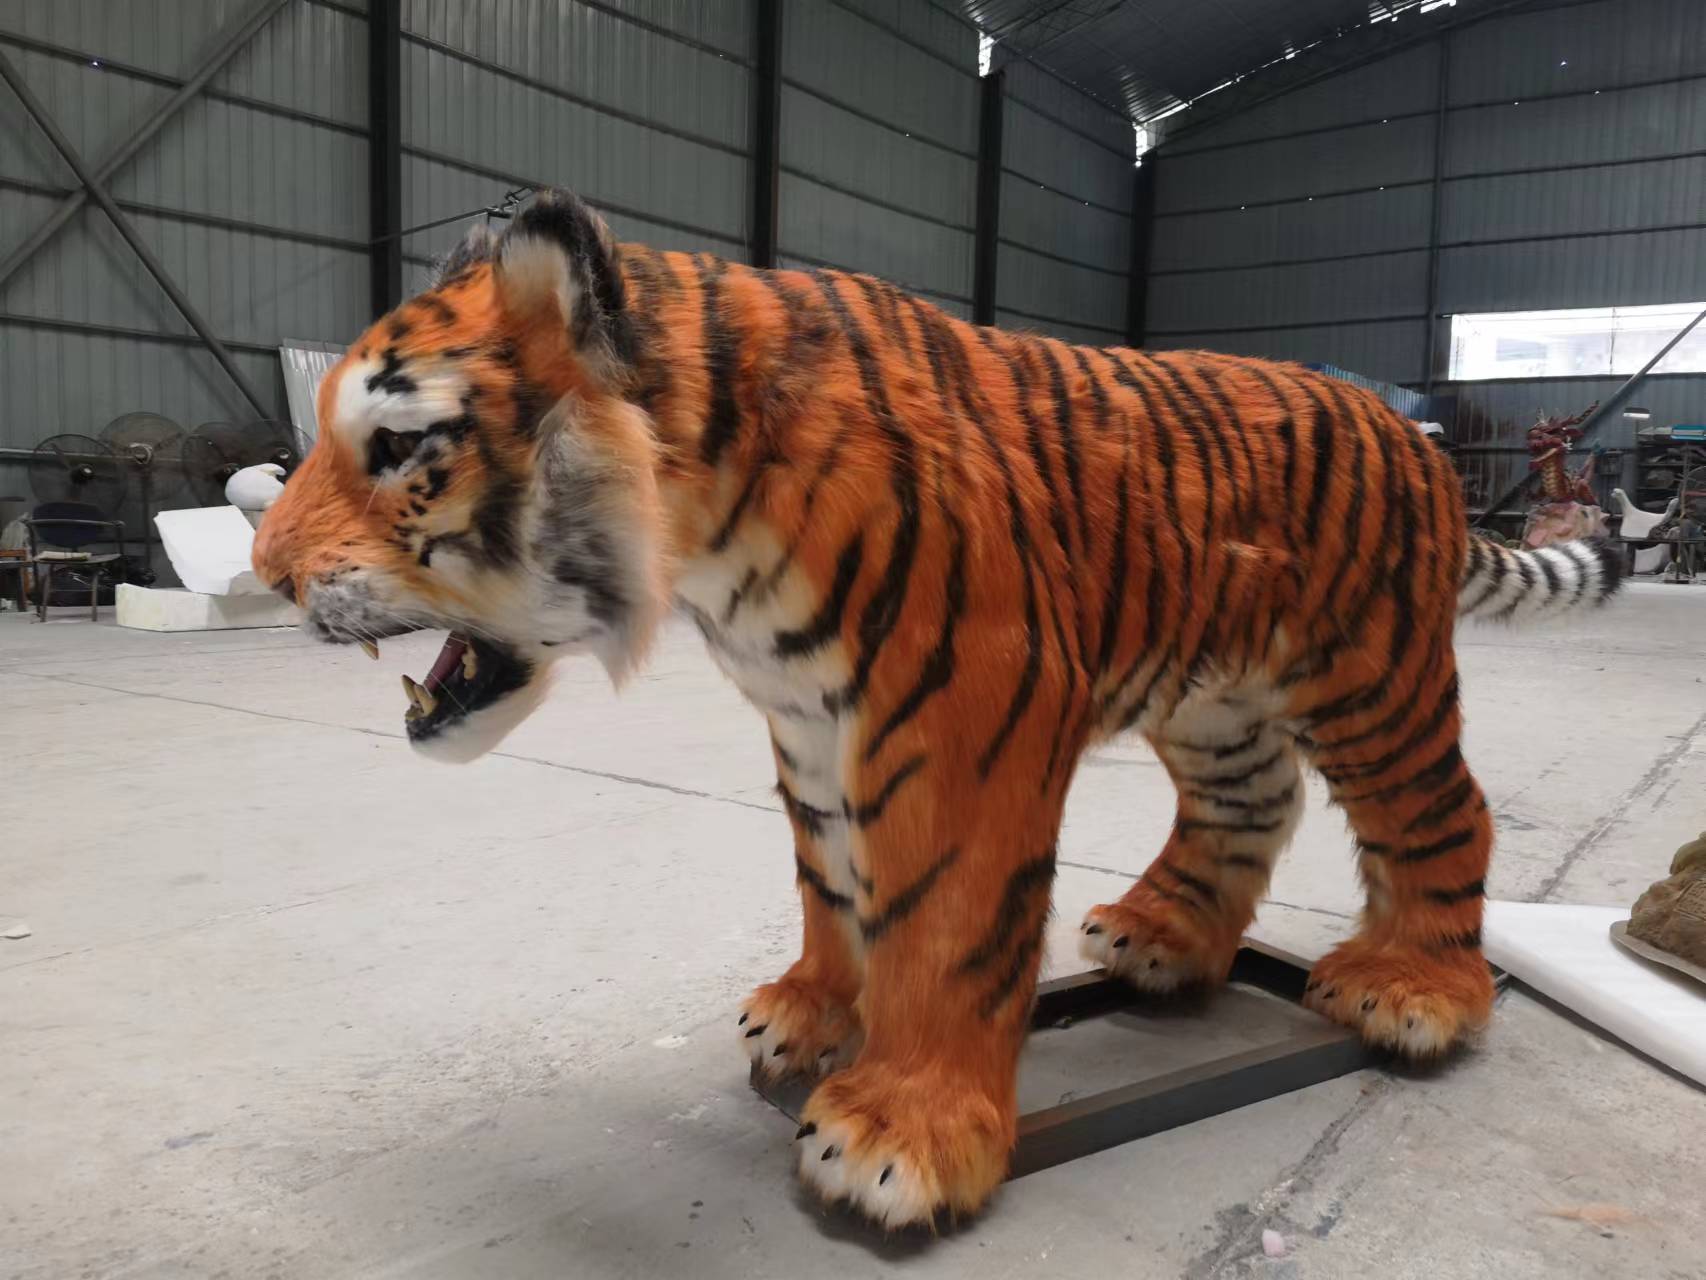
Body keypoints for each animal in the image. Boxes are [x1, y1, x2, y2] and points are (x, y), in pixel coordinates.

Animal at [253, 188, 1620, 1229]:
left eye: (397, 447)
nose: (263, 569)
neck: (707, 522)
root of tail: (1410, 429)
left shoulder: (972, 706)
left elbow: (945, 920)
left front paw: (899, 1130)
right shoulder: (811, 719)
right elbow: (832, 879)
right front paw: (812, 1016)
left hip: (1371, 677)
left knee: (1443, 809)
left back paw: (1411, 991)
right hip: (1217, 695)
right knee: (1255, 797)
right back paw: (1164, 936)